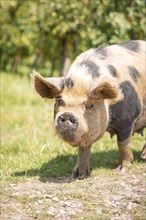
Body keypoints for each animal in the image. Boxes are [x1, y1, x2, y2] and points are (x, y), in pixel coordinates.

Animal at [30, 40, 145, 180]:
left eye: (89, 105)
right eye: (60, 101)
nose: (67, 115)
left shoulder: (128, 119)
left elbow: (123, 144)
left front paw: (121, 171)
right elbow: (84, 149)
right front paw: (78, 175)